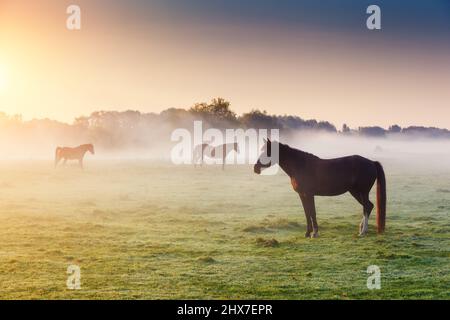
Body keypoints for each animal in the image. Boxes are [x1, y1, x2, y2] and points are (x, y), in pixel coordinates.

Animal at [255, 140, 384, 238]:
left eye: (267, 152)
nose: (255, 168)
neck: (300, 166)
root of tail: (372, 162)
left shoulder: (309, 194)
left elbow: (312, 212)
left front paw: (315, 233)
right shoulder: (302, 195)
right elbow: (307, 213)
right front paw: (307, 233)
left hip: (363, 192)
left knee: (367, 207)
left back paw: (363, 232)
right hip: (355, 192)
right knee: (368, 206)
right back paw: (361, 229)